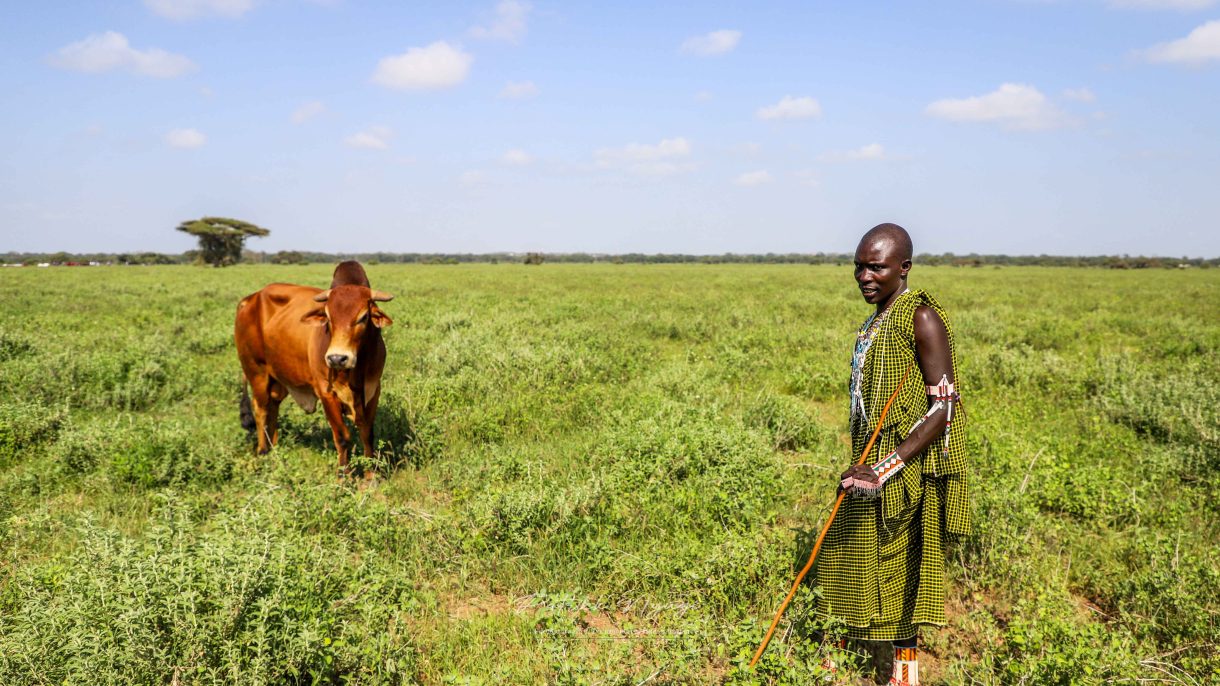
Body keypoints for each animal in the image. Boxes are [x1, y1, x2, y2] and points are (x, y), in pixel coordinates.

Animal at [235, 258, 392, 473]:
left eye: (363, 317)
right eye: (328, 317)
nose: (337, 358)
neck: (355, 371)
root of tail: (250, 299)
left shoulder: (373, 389)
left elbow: (367, 433)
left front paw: (371, 475)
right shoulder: (326, 393)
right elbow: (342, 438)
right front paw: (343, 476)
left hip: (277, 379)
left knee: (273, 407)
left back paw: (274, 449)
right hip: (256, 371)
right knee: (260, 409)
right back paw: (263, 451)